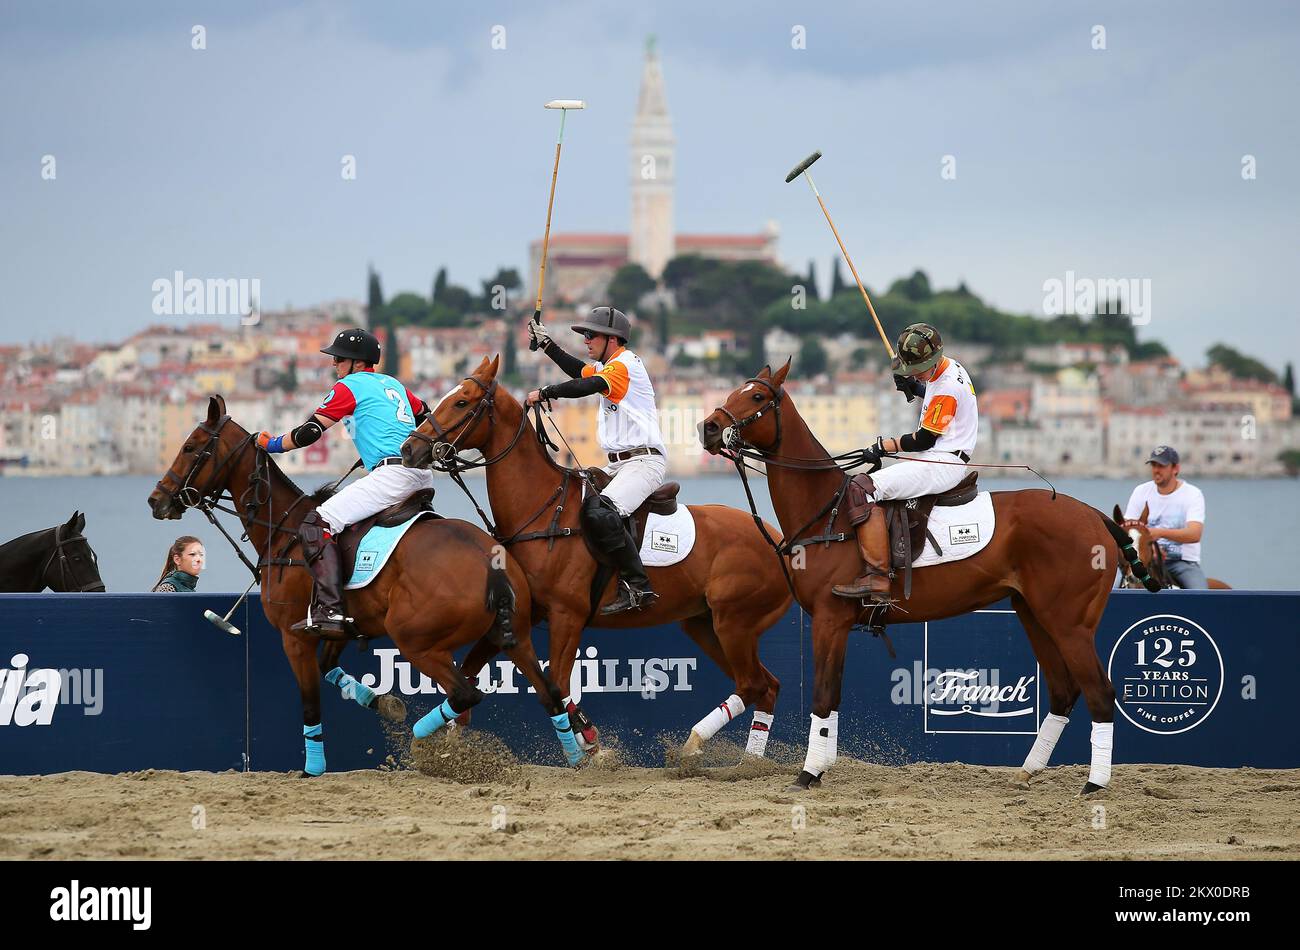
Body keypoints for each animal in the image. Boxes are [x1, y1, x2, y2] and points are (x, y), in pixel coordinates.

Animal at [146, 395, 585, 774]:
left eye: (190, 447)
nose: (156, 500)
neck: (283, 530)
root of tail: (490, 562)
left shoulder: (294, 637)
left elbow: (310, 703)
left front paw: (313, 768)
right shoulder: (340, 626)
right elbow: (330, 669)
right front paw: (383, 702)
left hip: (412, 635)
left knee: (466, 693)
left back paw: (424, 738)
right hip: (515, 634)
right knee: (550, 692)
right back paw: (579, 759)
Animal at [400, 353, 790, 764]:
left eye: (462, 402)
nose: (410, 449)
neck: (541, 511)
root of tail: (777, 540)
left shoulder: (567, 615)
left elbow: (555, 683)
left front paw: (584, 746)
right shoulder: (523, 614)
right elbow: (474, 671)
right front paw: (449, 743)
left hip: (735, 623)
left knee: (753, 683)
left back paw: (699, 745)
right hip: (705, 624)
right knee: (765, 685)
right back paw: (747, 760)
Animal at [702, 361, 1159, 795]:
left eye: (756, 396)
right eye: (734, 390)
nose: (707, 428)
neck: (826, 511)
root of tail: (1096, 517)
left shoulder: (830, 619)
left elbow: (822, 695)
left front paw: (808, 773)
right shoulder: (840, 624)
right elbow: (833, 698)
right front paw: (822, 767)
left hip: (1070, 623)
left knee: (1100, 693)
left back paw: (1095, 783)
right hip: (1034, 614)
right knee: (1065, 691)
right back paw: (1028, 772)